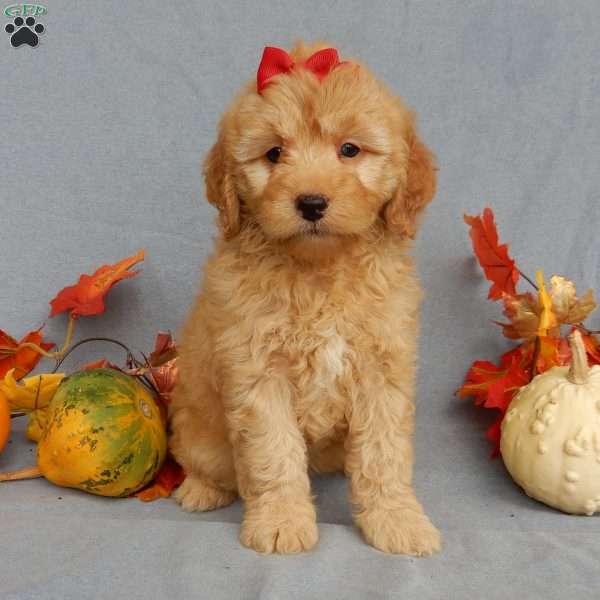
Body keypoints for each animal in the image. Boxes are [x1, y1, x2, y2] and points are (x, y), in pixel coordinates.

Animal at [169, 43, 440, 556]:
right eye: (274, 154)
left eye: (349, 150)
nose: (311, 203)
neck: (318, 272)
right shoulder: (258, 373)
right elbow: (273, 453)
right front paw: (280, 521)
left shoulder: (382, 370)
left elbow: (384, 453)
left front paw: (396, 519)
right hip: (203, 433)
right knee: (204, 460)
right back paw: (200, 489)